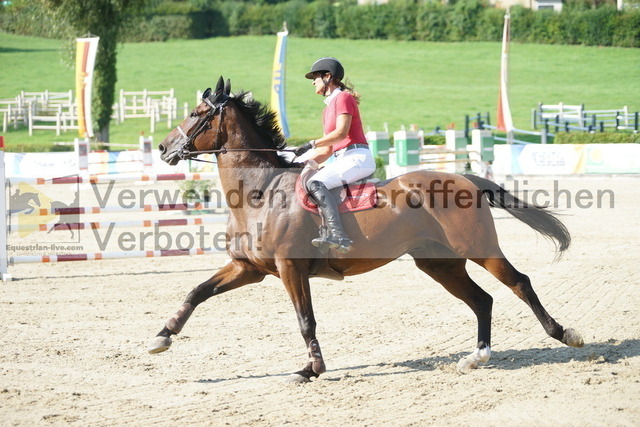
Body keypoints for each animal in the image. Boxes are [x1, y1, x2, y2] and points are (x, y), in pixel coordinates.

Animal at [149, 77, 583, 382]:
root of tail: (463, 178)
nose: (164, 148)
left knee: (519, 283)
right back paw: (477, 357)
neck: (260, 190)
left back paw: (564, 334)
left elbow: (305, 320)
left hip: (478, 248)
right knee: (482, 300)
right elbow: (196, 292)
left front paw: (311, 369)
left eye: (197, 113)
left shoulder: (290, 268)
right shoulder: (249, 268)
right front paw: (162, 336)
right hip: (439, 263)